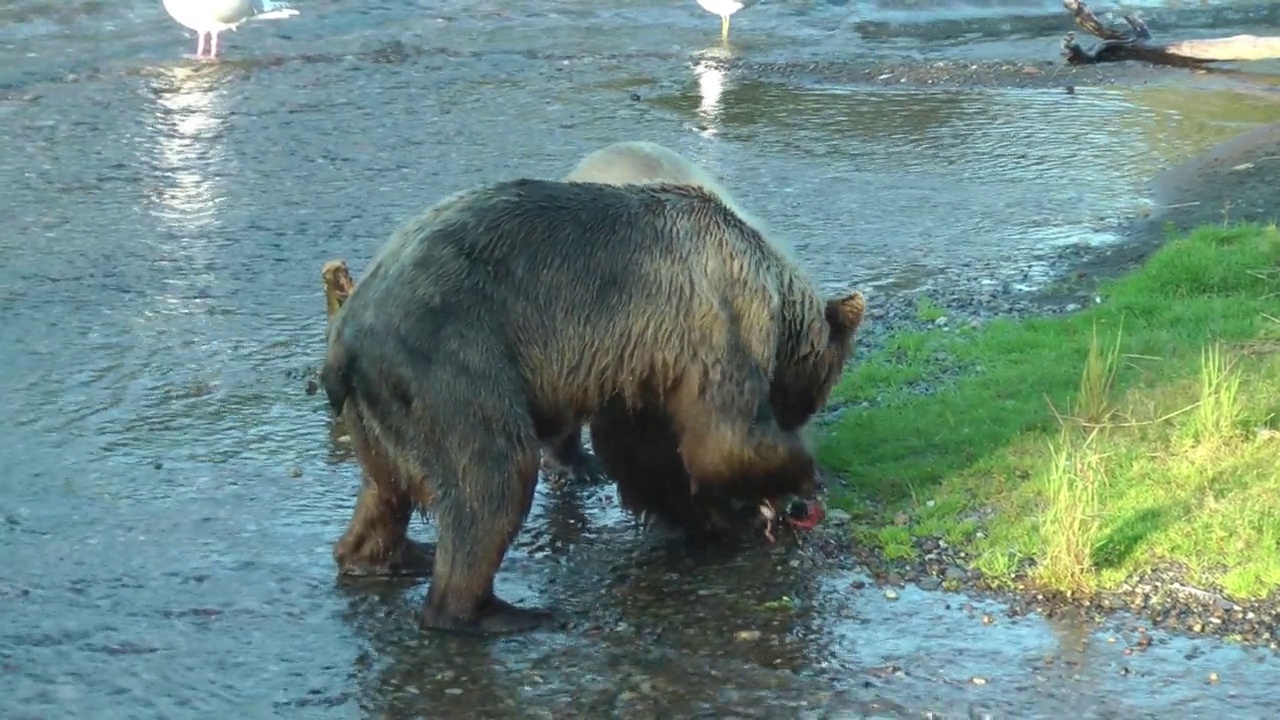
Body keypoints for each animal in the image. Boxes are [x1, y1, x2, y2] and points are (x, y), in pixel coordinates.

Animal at [320, 178, 860, 632]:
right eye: (814, 396)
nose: (799, 417)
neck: (772, 291)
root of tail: (346, 336)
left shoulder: (645, 362)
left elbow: (645, 452)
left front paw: (707, 515)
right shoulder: (712, 320)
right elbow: (723, 440)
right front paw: (795, 479)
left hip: (383, 409)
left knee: (387, 487)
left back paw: (384, 557)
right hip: (452, 359)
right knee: (492, 475)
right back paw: (492, 611)